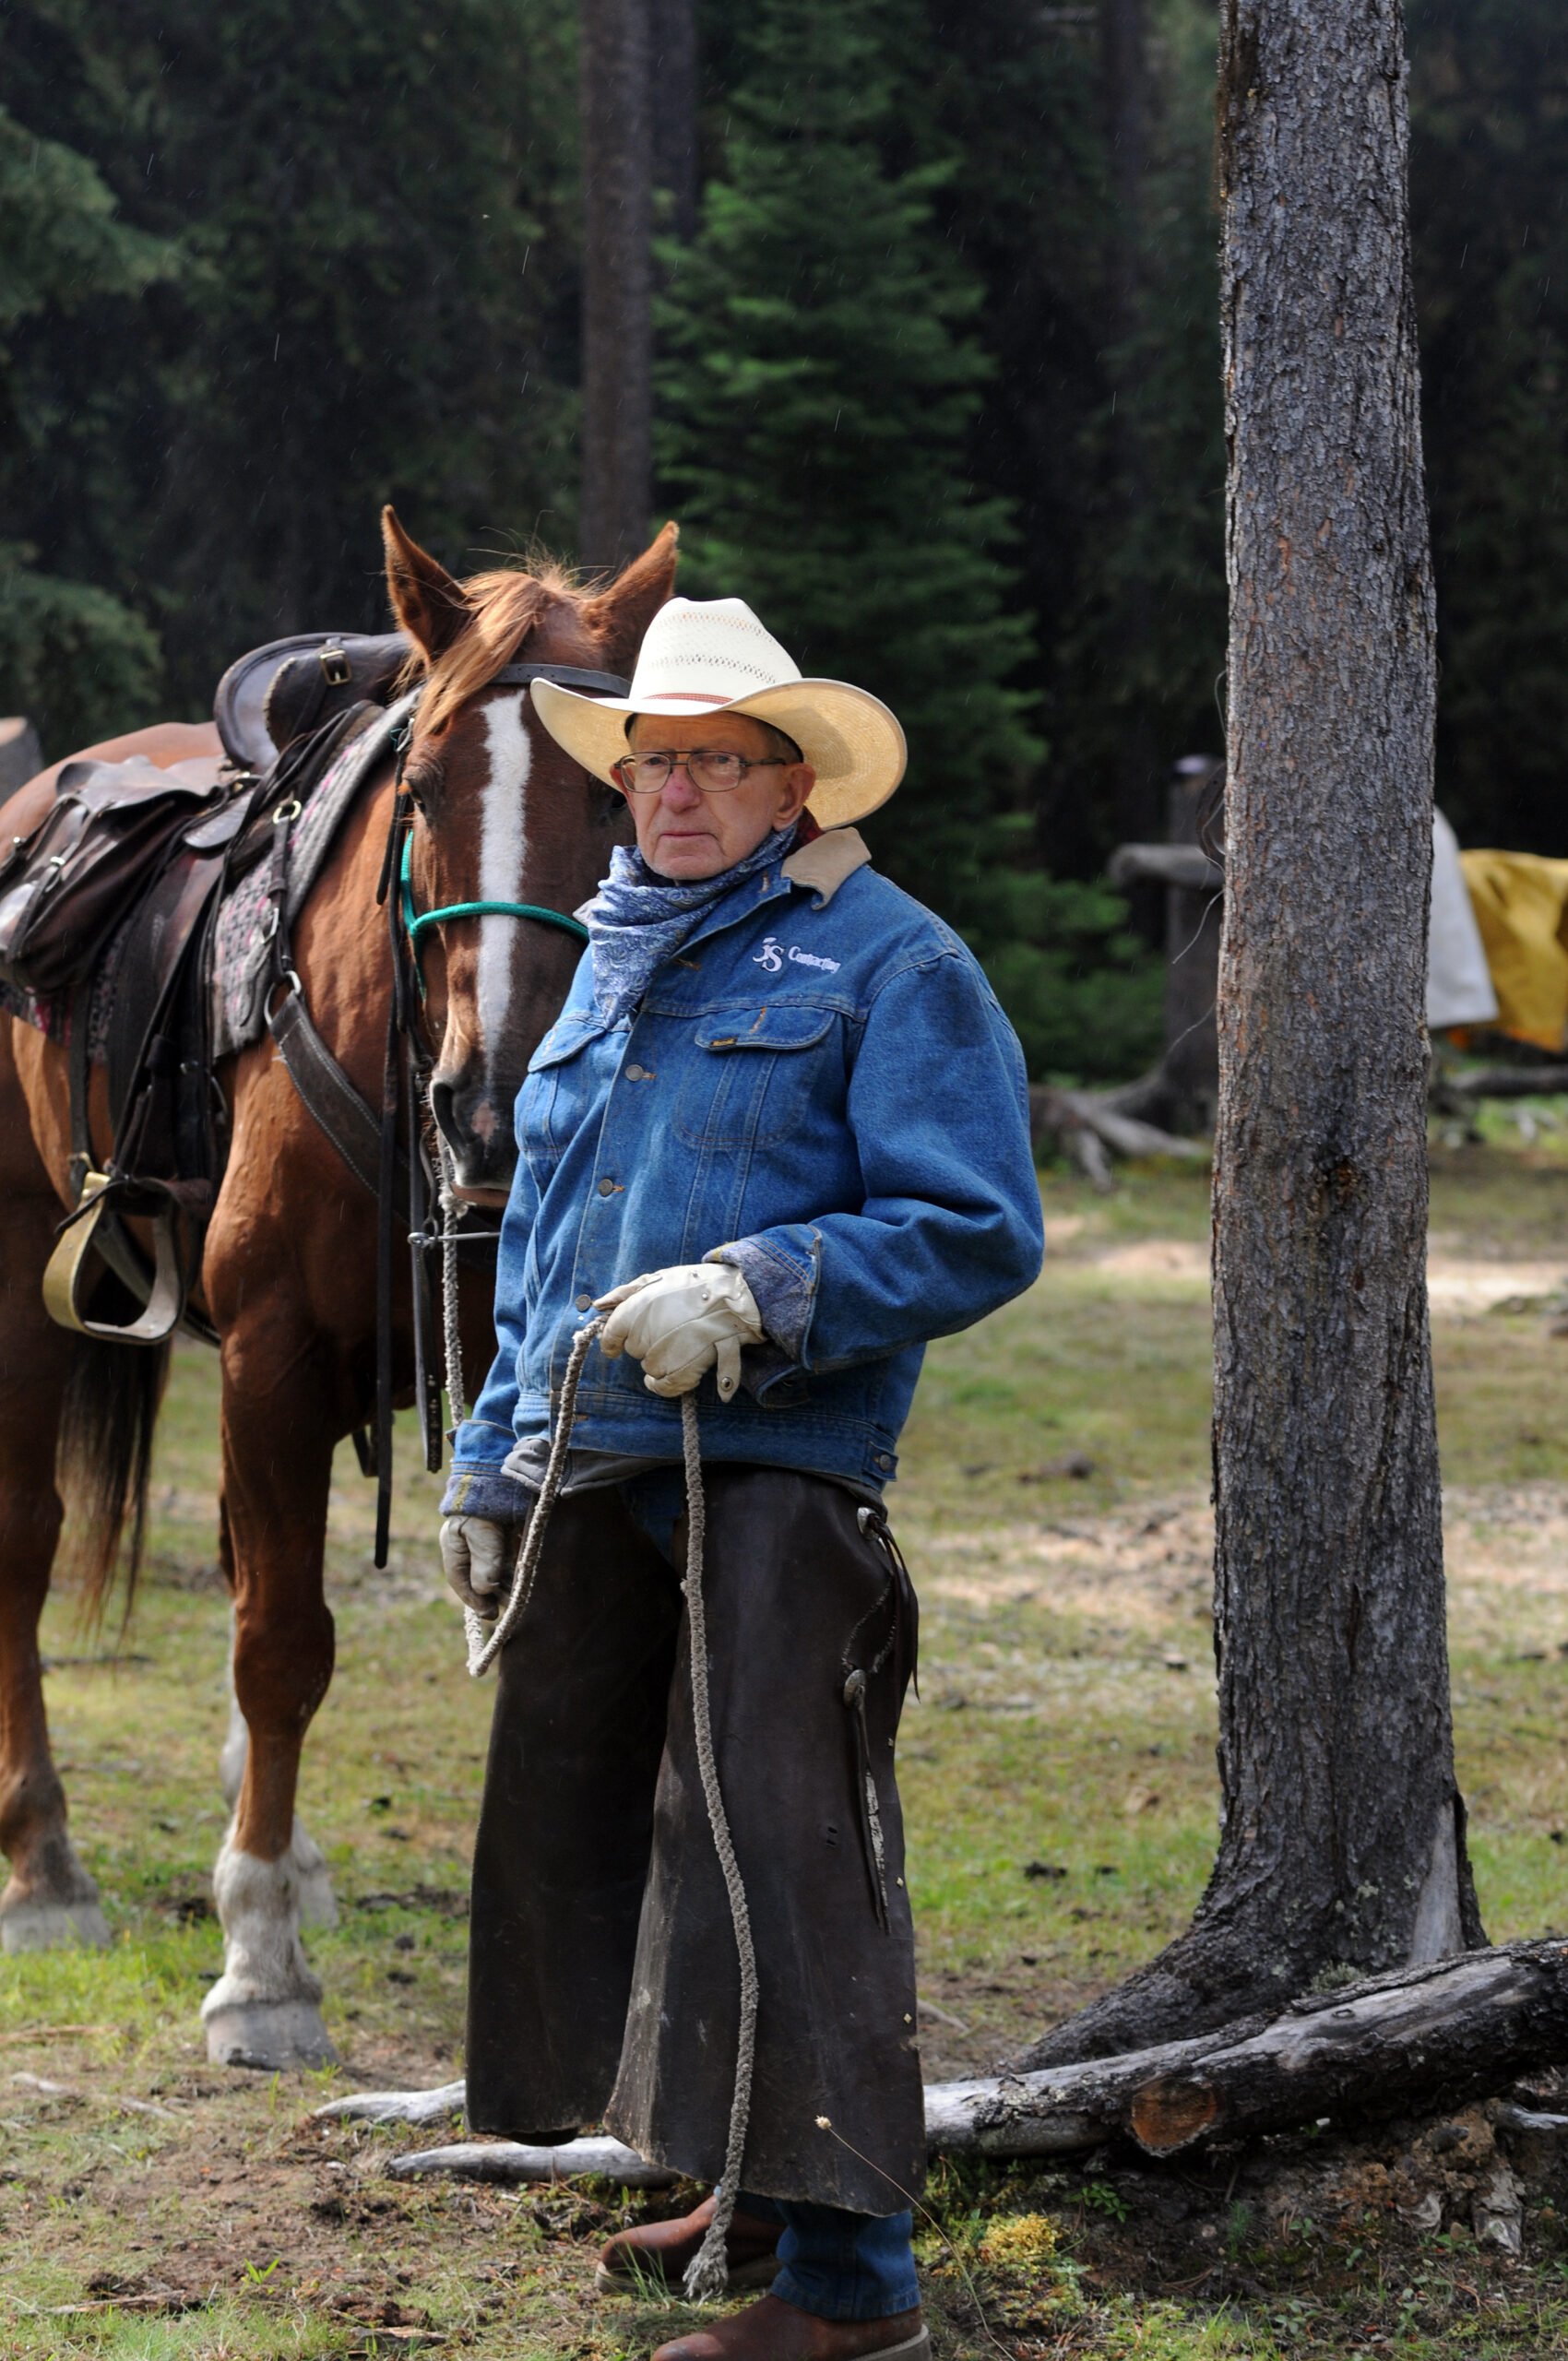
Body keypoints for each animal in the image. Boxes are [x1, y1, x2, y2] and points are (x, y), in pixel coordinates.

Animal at [0, 508, 676, 2066]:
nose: (488, 1108)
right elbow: (280, 1642)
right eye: (420, 790)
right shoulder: (273, 1355)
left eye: (622, 793)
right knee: (26, 1537)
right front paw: (261, 1969)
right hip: (16, 1273)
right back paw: (47, 1869)